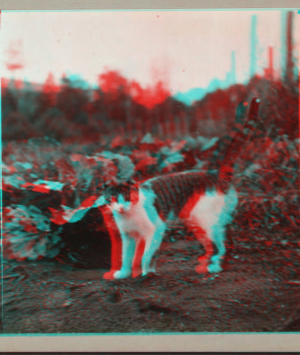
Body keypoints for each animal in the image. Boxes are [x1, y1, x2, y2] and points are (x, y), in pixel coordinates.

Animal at [100, 98, 260, 280]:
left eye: (126, 197)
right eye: (112, 198)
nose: (120, 207)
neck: (129, 214)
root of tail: (214, 173)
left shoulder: (156, 228)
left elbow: (146, 254)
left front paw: (145, 272)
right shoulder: (127, 236)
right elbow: (126, 256)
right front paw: (123, 273)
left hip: (205, 219)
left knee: (223, 243)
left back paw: (214, 268)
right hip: (199, 221)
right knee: (220, 240)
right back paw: (207, 264)